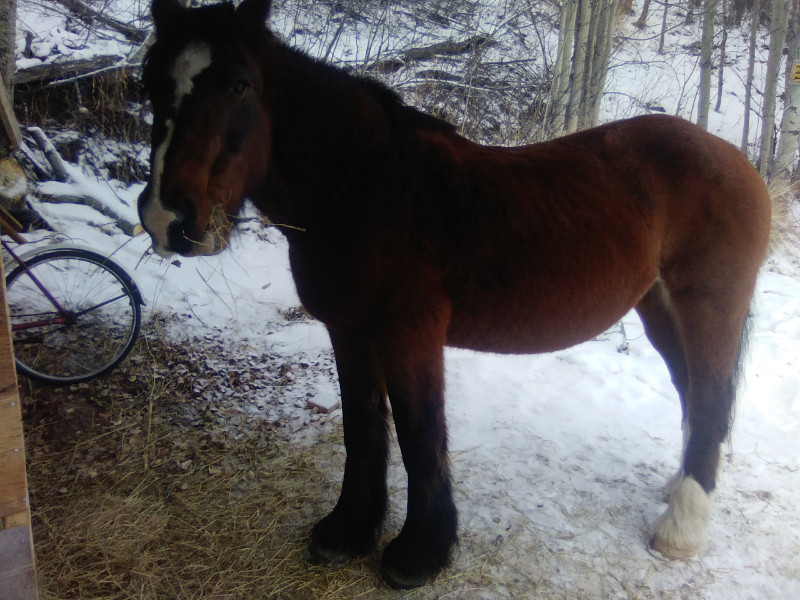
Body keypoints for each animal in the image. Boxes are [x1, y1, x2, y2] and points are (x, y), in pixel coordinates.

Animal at [138, 0, 771, 589]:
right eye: (151, 82)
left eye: (239, 84)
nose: (169, 218)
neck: (363, 187)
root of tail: (736, 160)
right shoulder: (348, 330)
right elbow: (362, 429)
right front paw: (347, 531)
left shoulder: (408, 335)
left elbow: (419, 436)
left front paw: (419, 554)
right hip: (660, 309)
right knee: (694, 393)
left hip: (707, 307)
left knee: (709, 398)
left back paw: (681, 529)